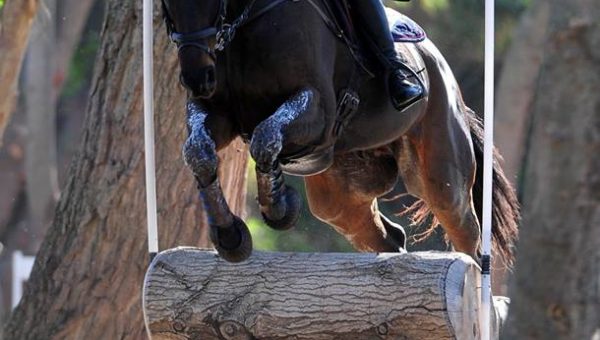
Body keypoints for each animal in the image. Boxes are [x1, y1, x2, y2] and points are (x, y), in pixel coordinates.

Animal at [161, 0, 520, 266]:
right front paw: (229, 235)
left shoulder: (318, 111)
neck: (248, 22)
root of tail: (435, 57)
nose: (197, 78)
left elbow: (265, 138)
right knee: (385, 236)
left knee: (465, 234)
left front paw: (279, 208)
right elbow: (199, 153)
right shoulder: (217, 113)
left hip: (440, 173)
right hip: (339, 194)